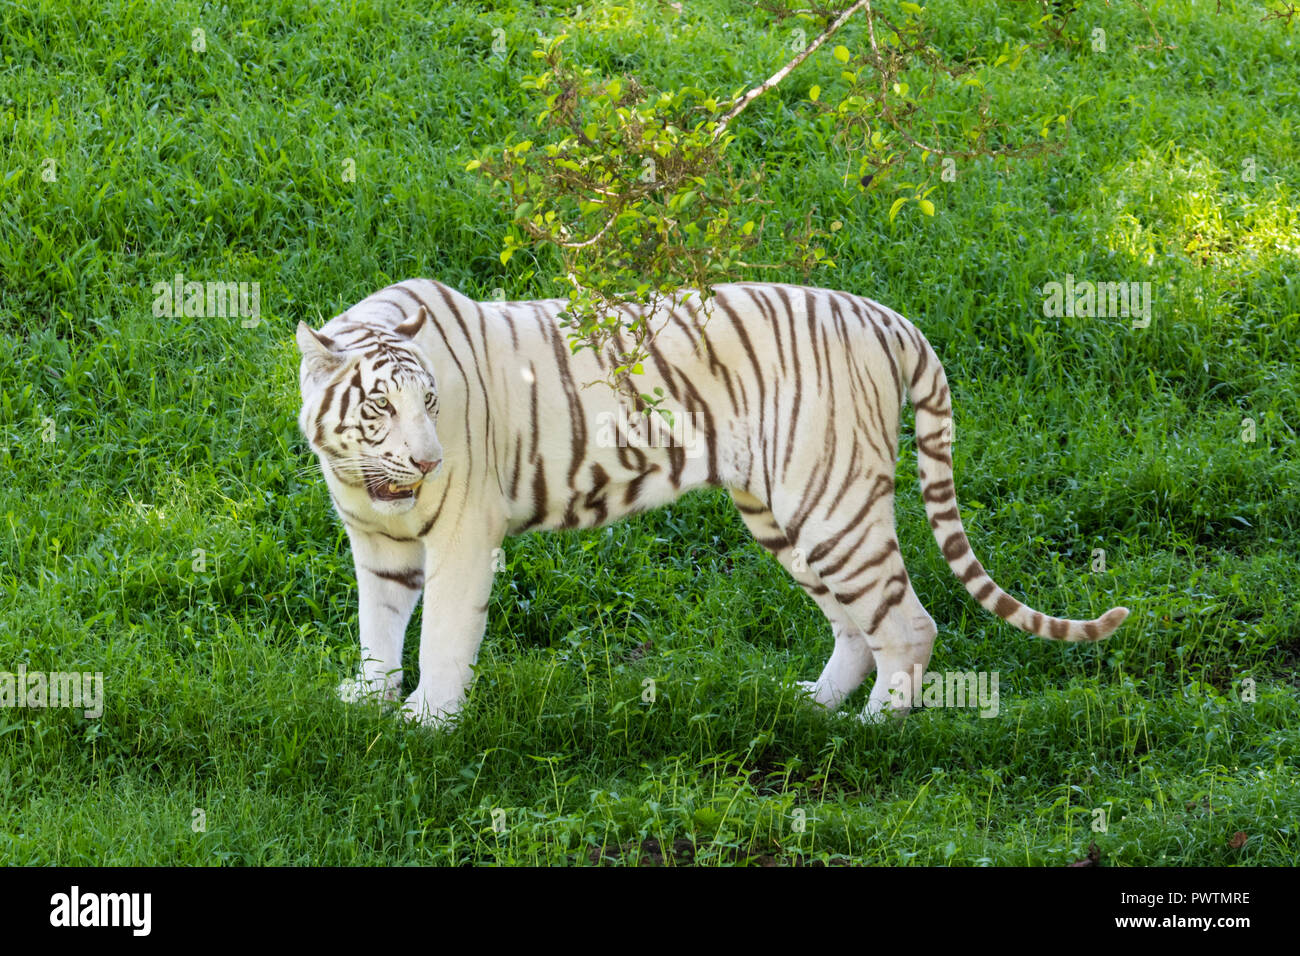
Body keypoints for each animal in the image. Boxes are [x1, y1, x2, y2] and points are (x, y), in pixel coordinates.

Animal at [297, 280, 1128, 728]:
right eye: (380, 406)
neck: (359, 474)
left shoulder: (467, 535)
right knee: (854, 624)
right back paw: (817, 704)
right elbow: (379, 625)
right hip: (783, 513)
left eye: (431, 403)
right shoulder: (377, 544)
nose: (429, 460)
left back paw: (876, 728)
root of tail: (884, 315)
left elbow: (439, 635)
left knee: (908, 623)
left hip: (830, 505)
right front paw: (367, 700)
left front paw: (427, 723)